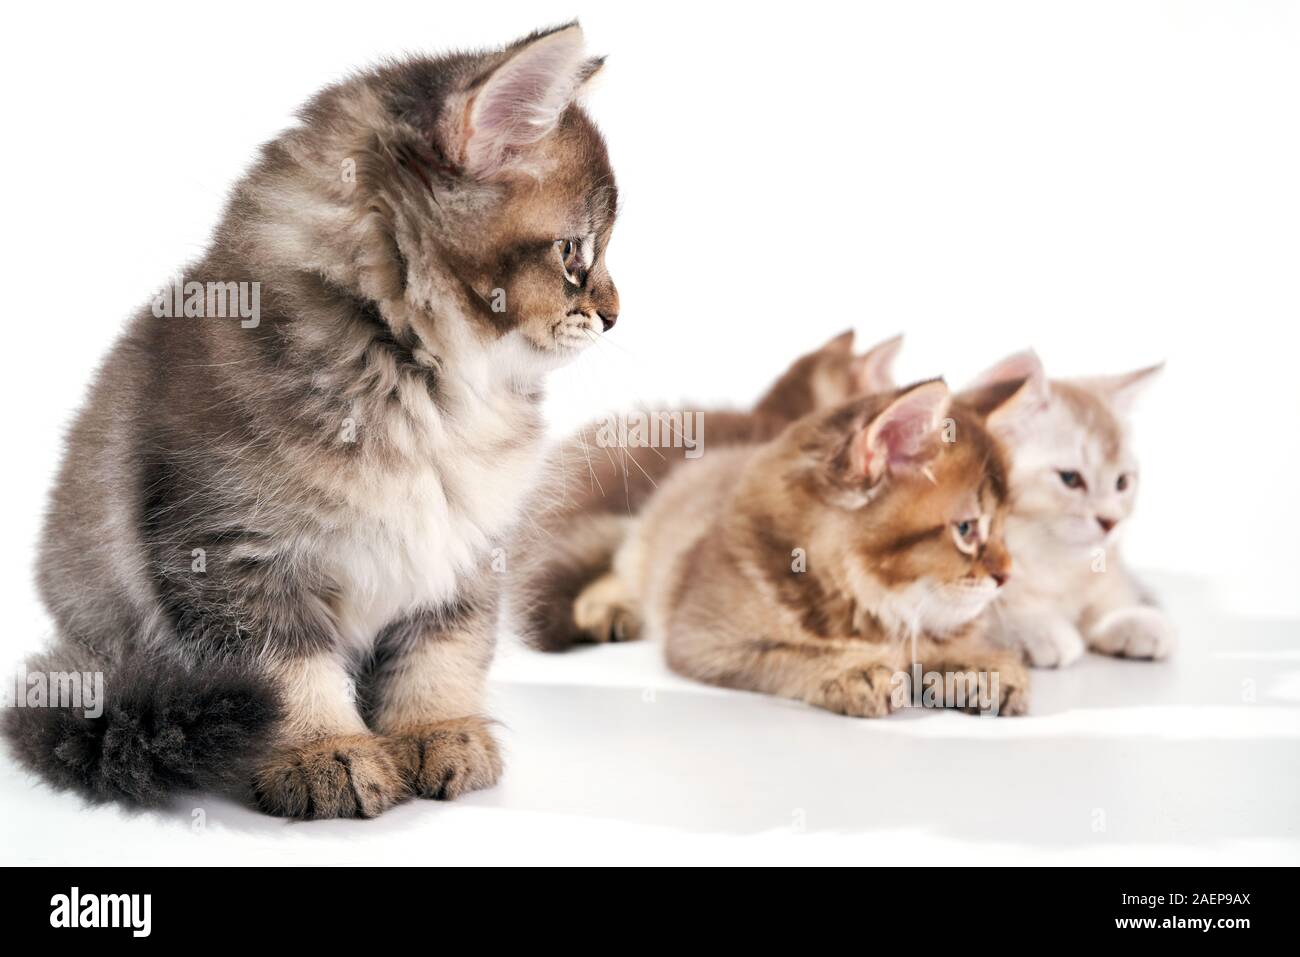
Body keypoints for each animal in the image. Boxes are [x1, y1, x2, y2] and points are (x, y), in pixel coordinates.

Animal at [2, 20, 618, 821]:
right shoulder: (232, 556)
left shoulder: (465, 551)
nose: (614, 314)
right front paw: (324, 750)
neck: (420, 391)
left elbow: (442, 650)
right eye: (573, 253)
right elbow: (284, 670)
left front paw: (435, 729)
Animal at [574, 377, 1040, 712]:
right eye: (966, 529)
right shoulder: (704, 639)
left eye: (1003, 527)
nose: (1007, 574)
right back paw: (604, 607)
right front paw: (852, 671)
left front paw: (980, 665)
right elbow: (790, 654)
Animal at [967, 348, 1180, 670]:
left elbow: (1111, 594)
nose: (1111, 521)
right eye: (1070, 478)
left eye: (1121, 482)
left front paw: (1132, 618)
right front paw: (1037, 627)